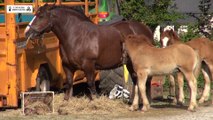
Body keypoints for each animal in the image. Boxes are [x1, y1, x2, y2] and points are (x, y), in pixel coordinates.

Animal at [24, 3, 153, 99]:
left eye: (41, 16)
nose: (27, 32)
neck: (77, 35)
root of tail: (145, 29)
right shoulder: (67, 66)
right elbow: (69, 85)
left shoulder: (89, 66)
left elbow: (91, 85)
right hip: (130, 63)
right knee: (136, 79)